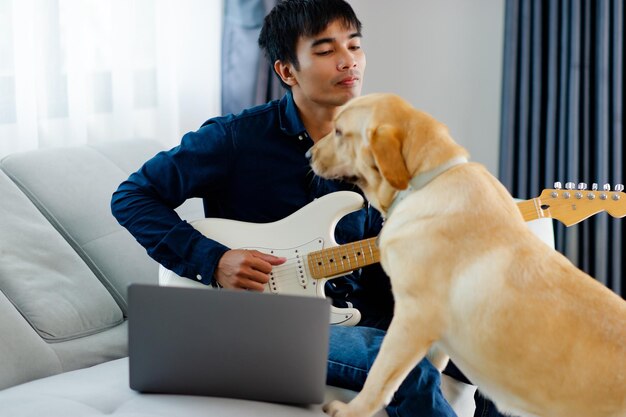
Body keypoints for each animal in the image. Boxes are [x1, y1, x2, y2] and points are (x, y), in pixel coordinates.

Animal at [308, 92, 624, 416]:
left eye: (338, 132)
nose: (308, 154)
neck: (425, 184)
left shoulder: (412, 318)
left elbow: (380, 378)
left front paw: (350, 410)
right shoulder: (434, 339)